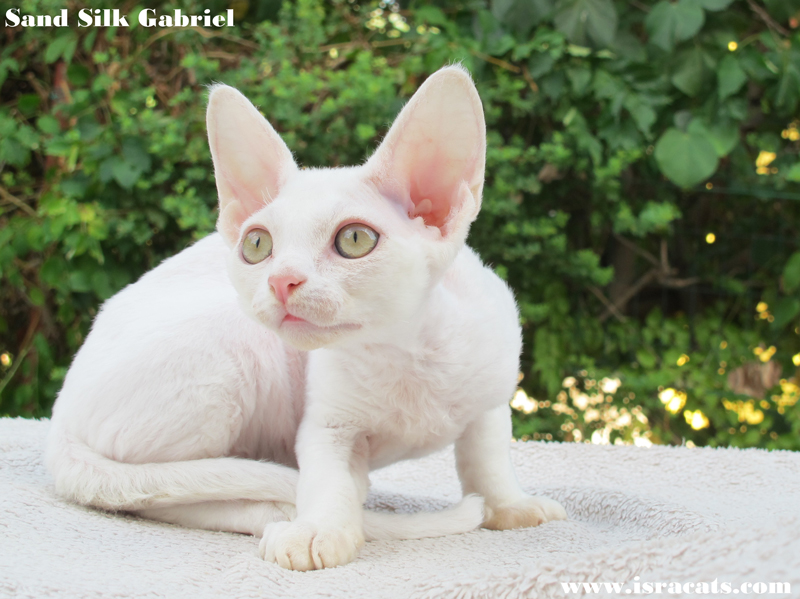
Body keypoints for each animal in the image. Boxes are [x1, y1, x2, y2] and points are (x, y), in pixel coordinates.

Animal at [45, 65, 568, 572]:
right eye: (257, 245)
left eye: (354, 239)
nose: (282, 281)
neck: (404, 351)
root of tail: (59, 420)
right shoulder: (327, 425)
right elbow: (327, 479)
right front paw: (320, 530)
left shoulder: (491, 395)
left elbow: (487, 457)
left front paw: (510, 507)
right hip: (233, 342)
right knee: (161, 493)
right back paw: (273, 509)